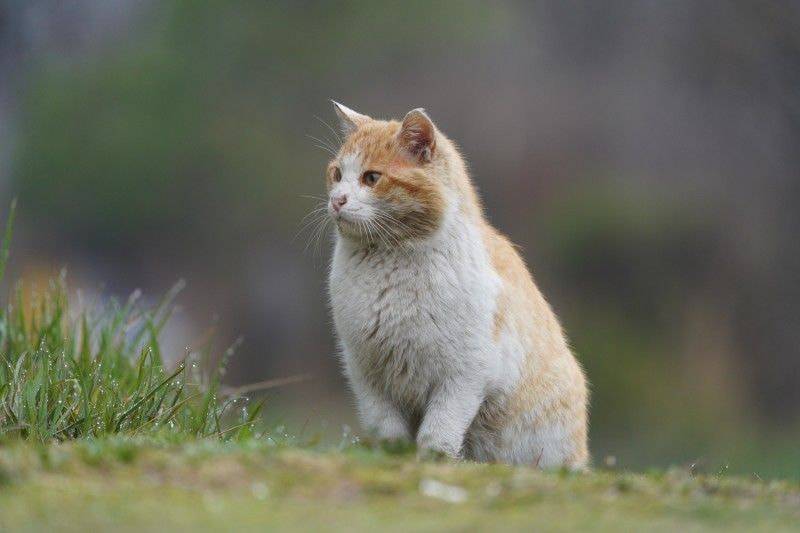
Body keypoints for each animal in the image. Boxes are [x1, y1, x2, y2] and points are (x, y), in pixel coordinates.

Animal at [324, 102, 588, 468]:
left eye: (371, 178)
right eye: (336, 174)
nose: (337, 199)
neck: (389, 264)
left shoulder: (463, 375)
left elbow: (440, 430)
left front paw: (433, 459)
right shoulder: (366, 373)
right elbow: (386, 428)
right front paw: (392, 455)